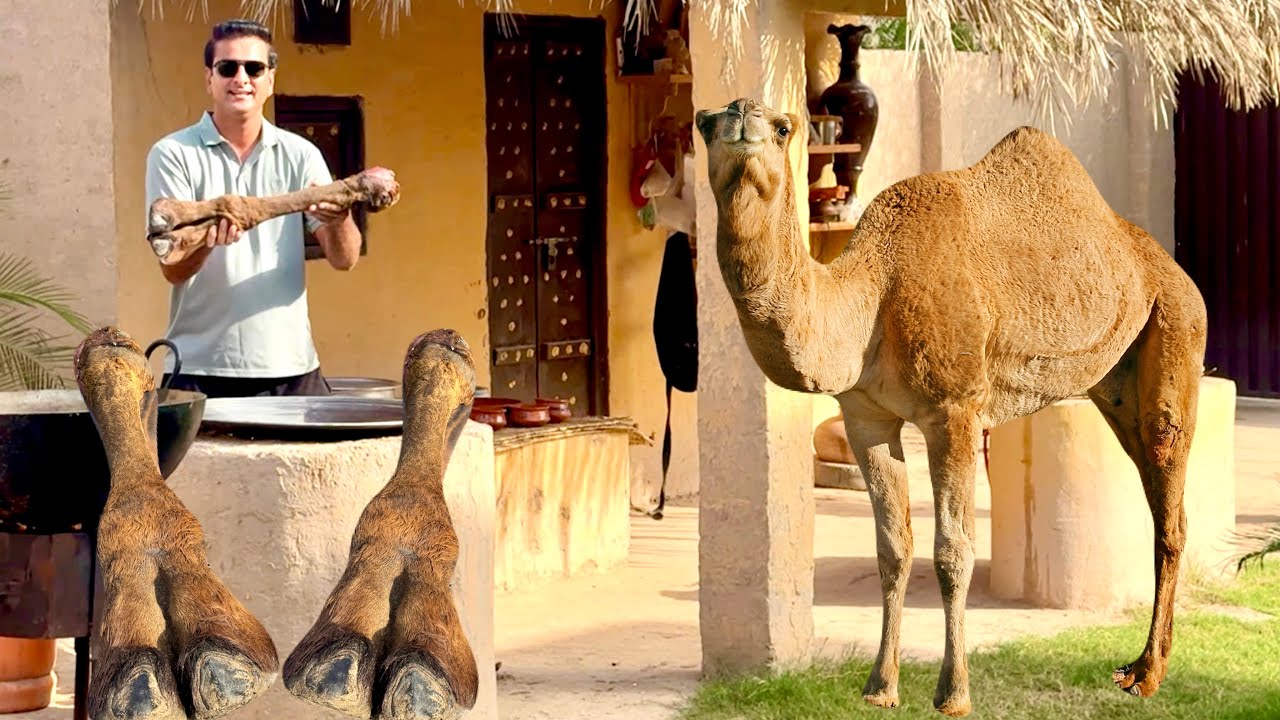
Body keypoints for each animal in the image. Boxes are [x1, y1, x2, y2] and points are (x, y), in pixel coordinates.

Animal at [694, 98, 1207, 717]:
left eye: (783, 127)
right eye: (703, 123)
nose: (742, 111)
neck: (872, 295)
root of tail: (1169, 266)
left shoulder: (954, 410)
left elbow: (953, 551)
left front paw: (953, 692)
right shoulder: (866, 416)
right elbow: (893, 548)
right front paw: (880, 687)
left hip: (1176, 323)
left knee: (1169, 493)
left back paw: (1147, 675)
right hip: (1115, 382)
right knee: (1159, 497)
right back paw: (1142, 668)